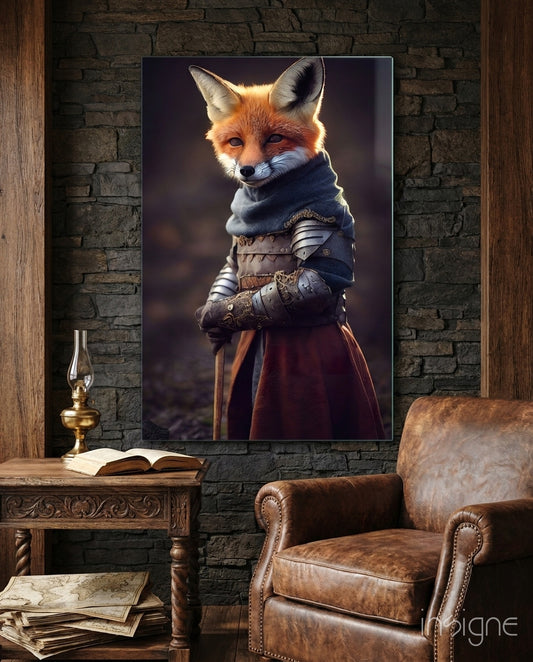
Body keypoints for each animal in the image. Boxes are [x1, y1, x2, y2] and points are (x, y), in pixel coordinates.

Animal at [190, 57, 385, 441]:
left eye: (274, 139)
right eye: (235, 142)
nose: (247, 170)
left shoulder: (320, 221)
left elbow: (312, 281)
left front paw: (216, 315)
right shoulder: (235, 247)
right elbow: (229, 271)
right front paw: (212, 322)